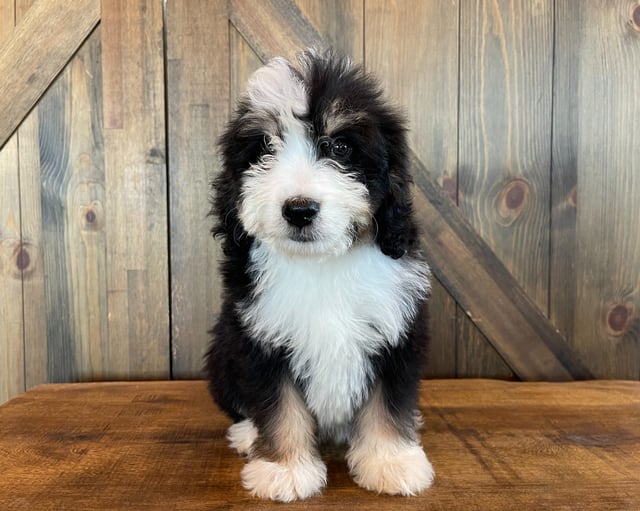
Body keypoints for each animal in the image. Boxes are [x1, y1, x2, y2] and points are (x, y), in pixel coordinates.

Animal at [206, 50, 436, 502]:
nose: (299, 209)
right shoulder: (260, 337)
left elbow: (387, 403)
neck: (322, 264)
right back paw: (248, 434)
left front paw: (391, 462)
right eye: (265, 149)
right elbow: (279, 407)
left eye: (341, 147)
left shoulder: (396, 332)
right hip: (222, 354)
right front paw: (283, 469)